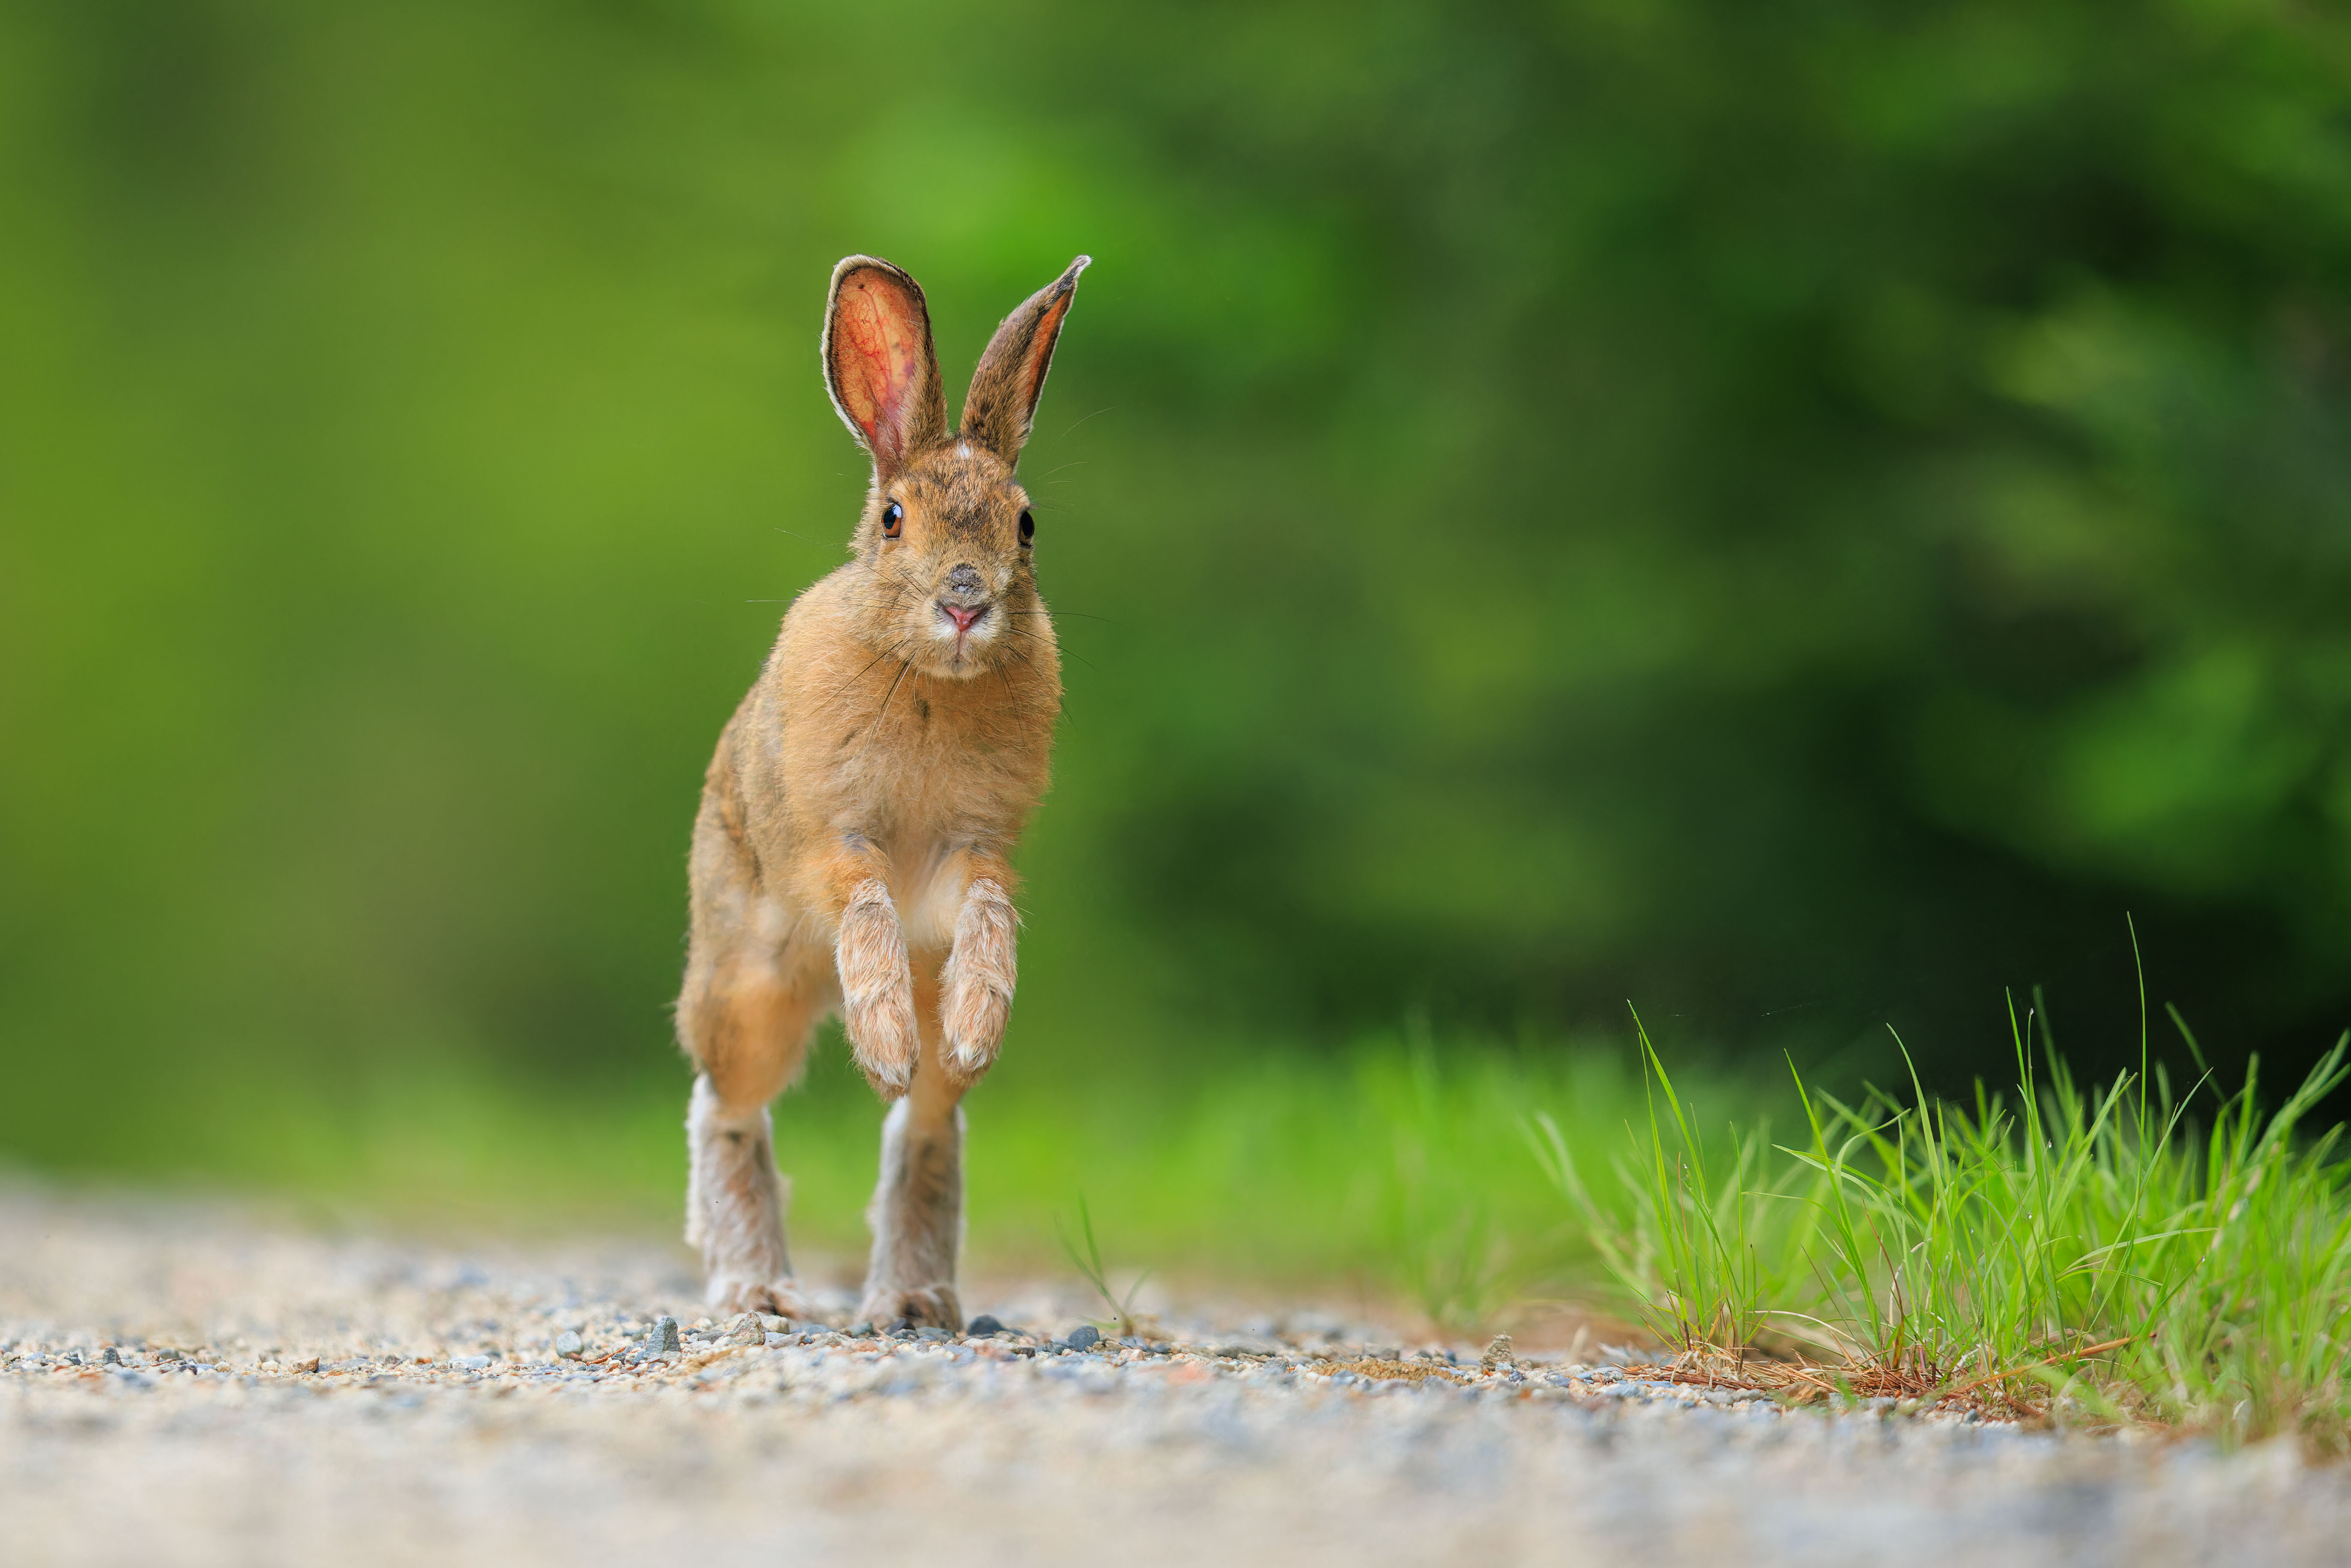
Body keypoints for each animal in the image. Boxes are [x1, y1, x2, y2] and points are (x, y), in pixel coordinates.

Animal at [676, 253, 1086, 1327]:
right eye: (895, 519)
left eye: (1026, 524)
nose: (964, 599)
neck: (934, 684)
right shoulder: (830, 845)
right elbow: (862, 907)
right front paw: (882, 1040)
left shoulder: (969, 852)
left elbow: (983, 910)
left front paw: (971, 1028)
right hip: (748, 982)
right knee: (727, 1106)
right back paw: (757, 1288)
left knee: (927, 1129)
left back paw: (912, 1298)